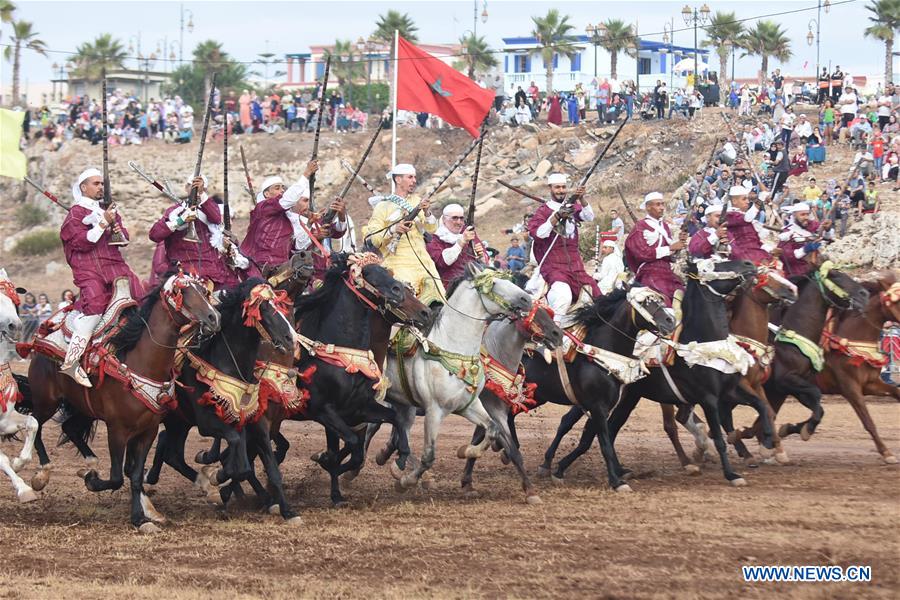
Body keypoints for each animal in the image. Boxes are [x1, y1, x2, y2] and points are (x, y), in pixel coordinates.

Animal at [22, 274, 220, 532]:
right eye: (182, 293)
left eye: (204, 291)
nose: (213, 317)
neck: (141, 362)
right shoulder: (117, 430)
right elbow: (117, 477)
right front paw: (94, 483)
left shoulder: (148, 431)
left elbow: (134, 476)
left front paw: (140, 518)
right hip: (47, 401)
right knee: (34, 423)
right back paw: (41, 475)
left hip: (82, 408)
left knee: (69, 427)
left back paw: (90, 463)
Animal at [384, 264, 536, 494]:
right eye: (494, 283)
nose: (527, 298)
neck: (453, 346)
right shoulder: (434, 410)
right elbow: (429, 456)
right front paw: (406, 481)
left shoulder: (469, 406)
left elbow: (493, 430)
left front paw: (465, 451)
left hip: (403, 404)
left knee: (398, 431)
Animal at [552, 258, 764, 488]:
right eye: (713, 265)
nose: (749, 263)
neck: (704, 342)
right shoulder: (709, 398)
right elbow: (718, 438)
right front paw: (732, 474)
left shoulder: (728, 392)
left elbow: (762, 406)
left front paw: (766, 438)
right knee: (577, 424)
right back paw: (555, 465)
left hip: (626, 399)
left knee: (607, 429)